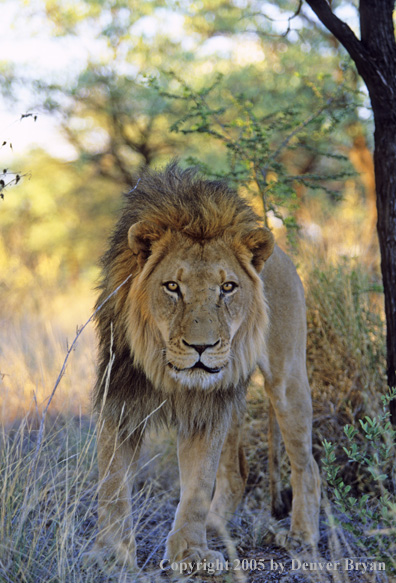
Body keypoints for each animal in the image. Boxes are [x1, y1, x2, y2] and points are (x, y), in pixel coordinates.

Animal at [91, 164, 320, 572]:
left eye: (227, 287)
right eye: (172, 286)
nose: (202, 347)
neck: (165, 371)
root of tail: (278, 252)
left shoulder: (207, 410)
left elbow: (198, 483)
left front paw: (189, 554)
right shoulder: (119, 399)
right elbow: (113, 482)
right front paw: (113, 555)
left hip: (287, 380)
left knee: (307, 464)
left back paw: (303, 536)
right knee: (237, 471)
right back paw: (218, 528)